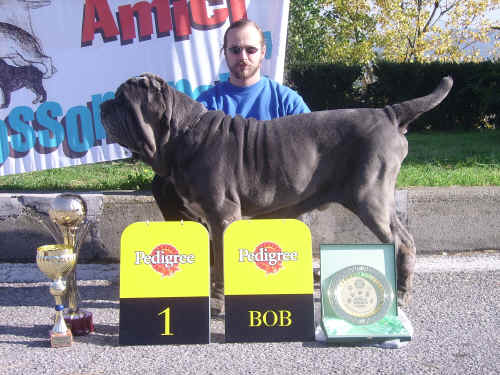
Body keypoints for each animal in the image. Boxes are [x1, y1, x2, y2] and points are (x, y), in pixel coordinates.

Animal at [100, 72, 454, 312]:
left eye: (122, 100)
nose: (103, 105)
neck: (180, 134)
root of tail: (387, 113)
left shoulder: (221, 214)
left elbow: (222, 264)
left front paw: (218, 303)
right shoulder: (209, 218)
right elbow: (215, 259)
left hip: (371, 197)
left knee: (401, 242)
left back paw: (400, 293)